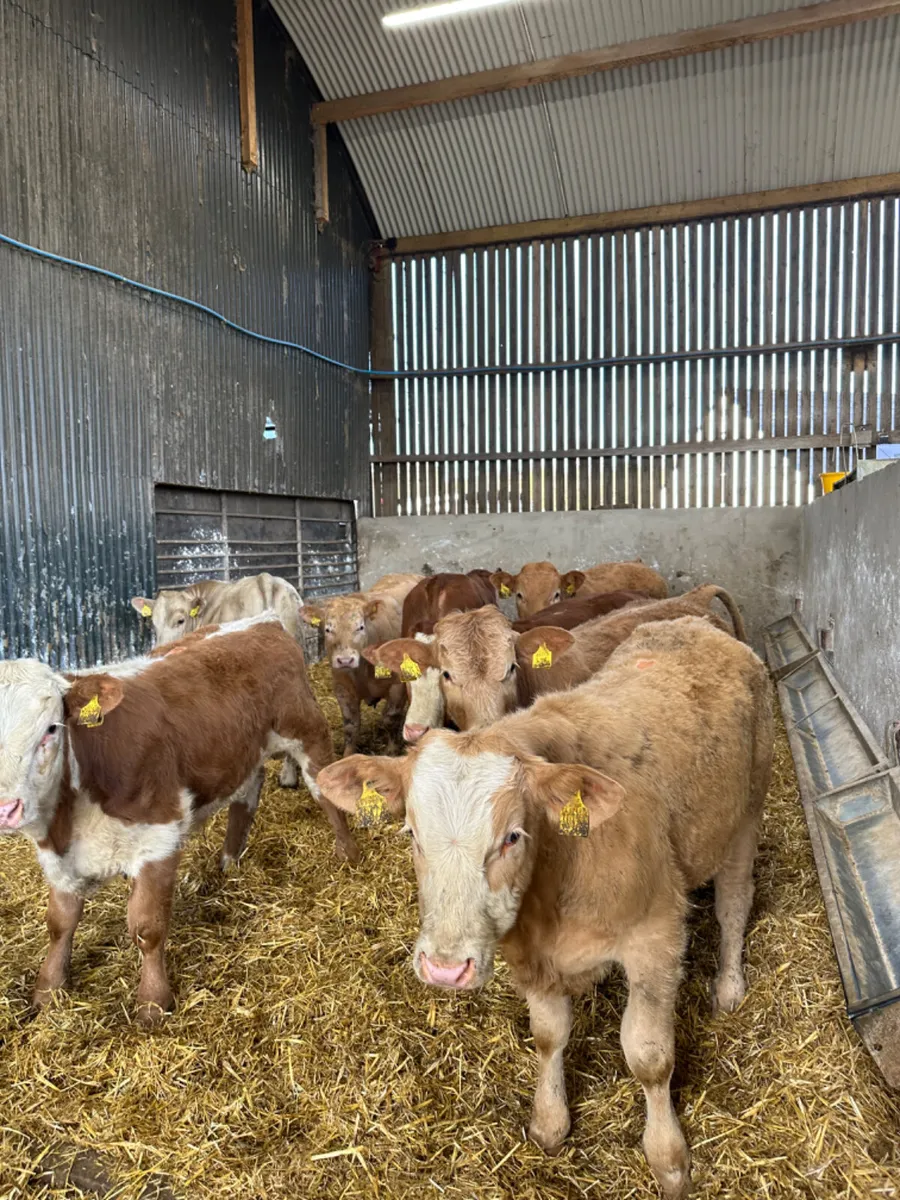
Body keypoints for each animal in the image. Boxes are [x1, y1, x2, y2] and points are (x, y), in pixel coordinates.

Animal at [0, 622, 358, 1025]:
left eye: (51, 729)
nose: (6, 808)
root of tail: (263, 622)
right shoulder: (58, 858)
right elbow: (59, 924)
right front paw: (47, 993)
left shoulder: (159, 836)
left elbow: (147, 927)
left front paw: (152, 1004)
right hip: (241, 753)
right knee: (247, 795)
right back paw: (229, 862)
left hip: (307, 730)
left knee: (325, 792)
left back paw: (348, 853)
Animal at [300, 574, 422, 755]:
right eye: (328, 629)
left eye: (360, 627)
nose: (345, 660)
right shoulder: (342, 688)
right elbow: (351, 725)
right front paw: (347, 754)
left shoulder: (398, 684)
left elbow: (390, 718)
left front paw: (391, 750)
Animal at [318, 617, 774, 1198]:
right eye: (412, 834)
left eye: (513, 836)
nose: (445, 969)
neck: (557, 879)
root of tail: (694, 623)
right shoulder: (531, 956)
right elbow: (548, 1036)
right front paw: (550, 1121)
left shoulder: (655, 936)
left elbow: (649, 1056)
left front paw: (669, 1157)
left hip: (746, 815)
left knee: (734, 903)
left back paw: (730, 986)